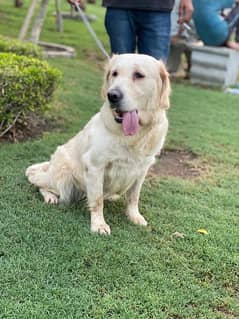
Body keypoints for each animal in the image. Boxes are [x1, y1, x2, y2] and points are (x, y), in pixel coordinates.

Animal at [25, 53, 170, 235]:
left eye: (138, 75)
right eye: (114, 73)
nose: (112, 95)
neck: (134, 135)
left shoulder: (142, 169)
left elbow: (133, 197)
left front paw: (134, 216)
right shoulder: (95, 165)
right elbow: (97, 199)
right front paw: (99, 224)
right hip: (64, 177)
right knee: (39, 181)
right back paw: (50, 196)